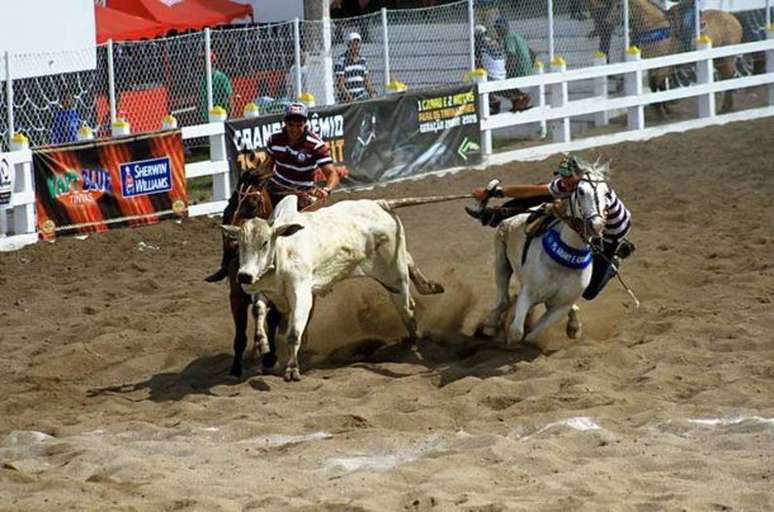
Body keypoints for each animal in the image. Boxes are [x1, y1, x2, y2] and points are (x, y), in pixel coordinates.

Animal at [221, 194, 446, 382]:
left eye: (265, 242)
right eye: (240, 244)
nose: (244, 275)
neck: (283, 253)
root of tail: (379, 203)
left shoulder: (302, 295)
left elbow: (294, 334)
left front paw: (292, 369)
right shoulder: (263, 289)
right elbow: (258, 311)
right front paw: (263, 344)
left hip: (395, 275)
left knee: (408, 308)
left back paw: (414, 342)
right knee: (408, 263)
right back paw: (430, 287)